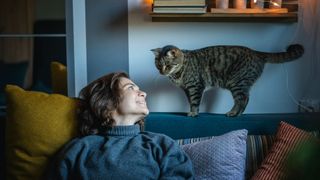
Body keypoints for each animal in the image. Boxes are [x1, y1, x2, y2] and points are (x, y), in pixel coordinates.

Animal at [151, 44, 304, 116]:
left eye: (167, 65)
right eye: (158, 65)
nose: (161, 71)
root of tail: (256, 52)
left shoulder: (195, 87)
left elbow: (194, 102)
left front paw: (193, 113)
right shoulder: (186, 90)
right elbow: (190, 101)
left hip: (238, 82)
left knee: (243, 100)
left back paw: (234, 114)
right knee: (243, 99)